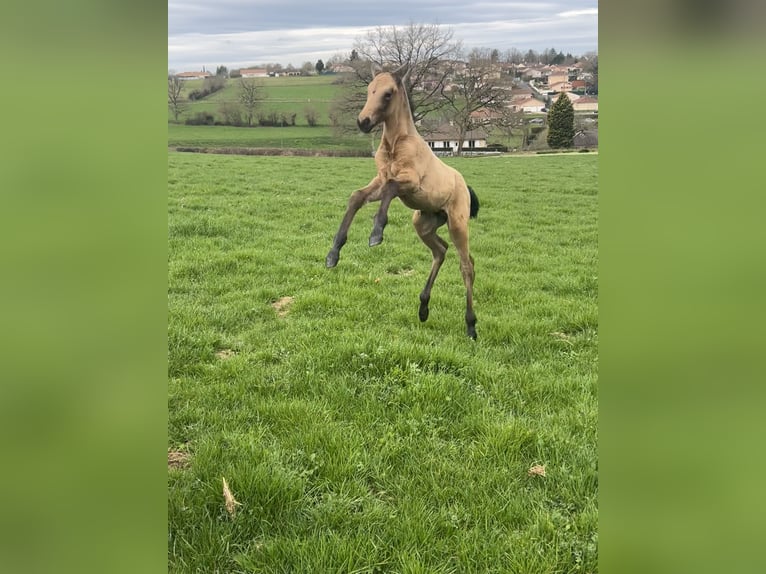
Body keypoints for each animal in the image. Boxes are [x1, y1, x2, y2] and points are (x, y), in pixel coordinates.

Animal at [325, 63, 480, 340]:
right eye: (369, 89)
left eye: (388, 94)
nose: (363, 122)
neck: (395, 143)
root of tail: (464, 185)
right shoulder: (378, 180)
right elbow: (356, 197)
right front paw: (333, 253)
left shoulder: (409, 183)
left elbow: (390, 189)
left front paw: (376, 233)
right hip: (424, 222)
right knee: (440, 251)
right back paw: (423, 308)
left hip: (457, 224)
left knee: (466, 265)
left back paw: (471, 326)